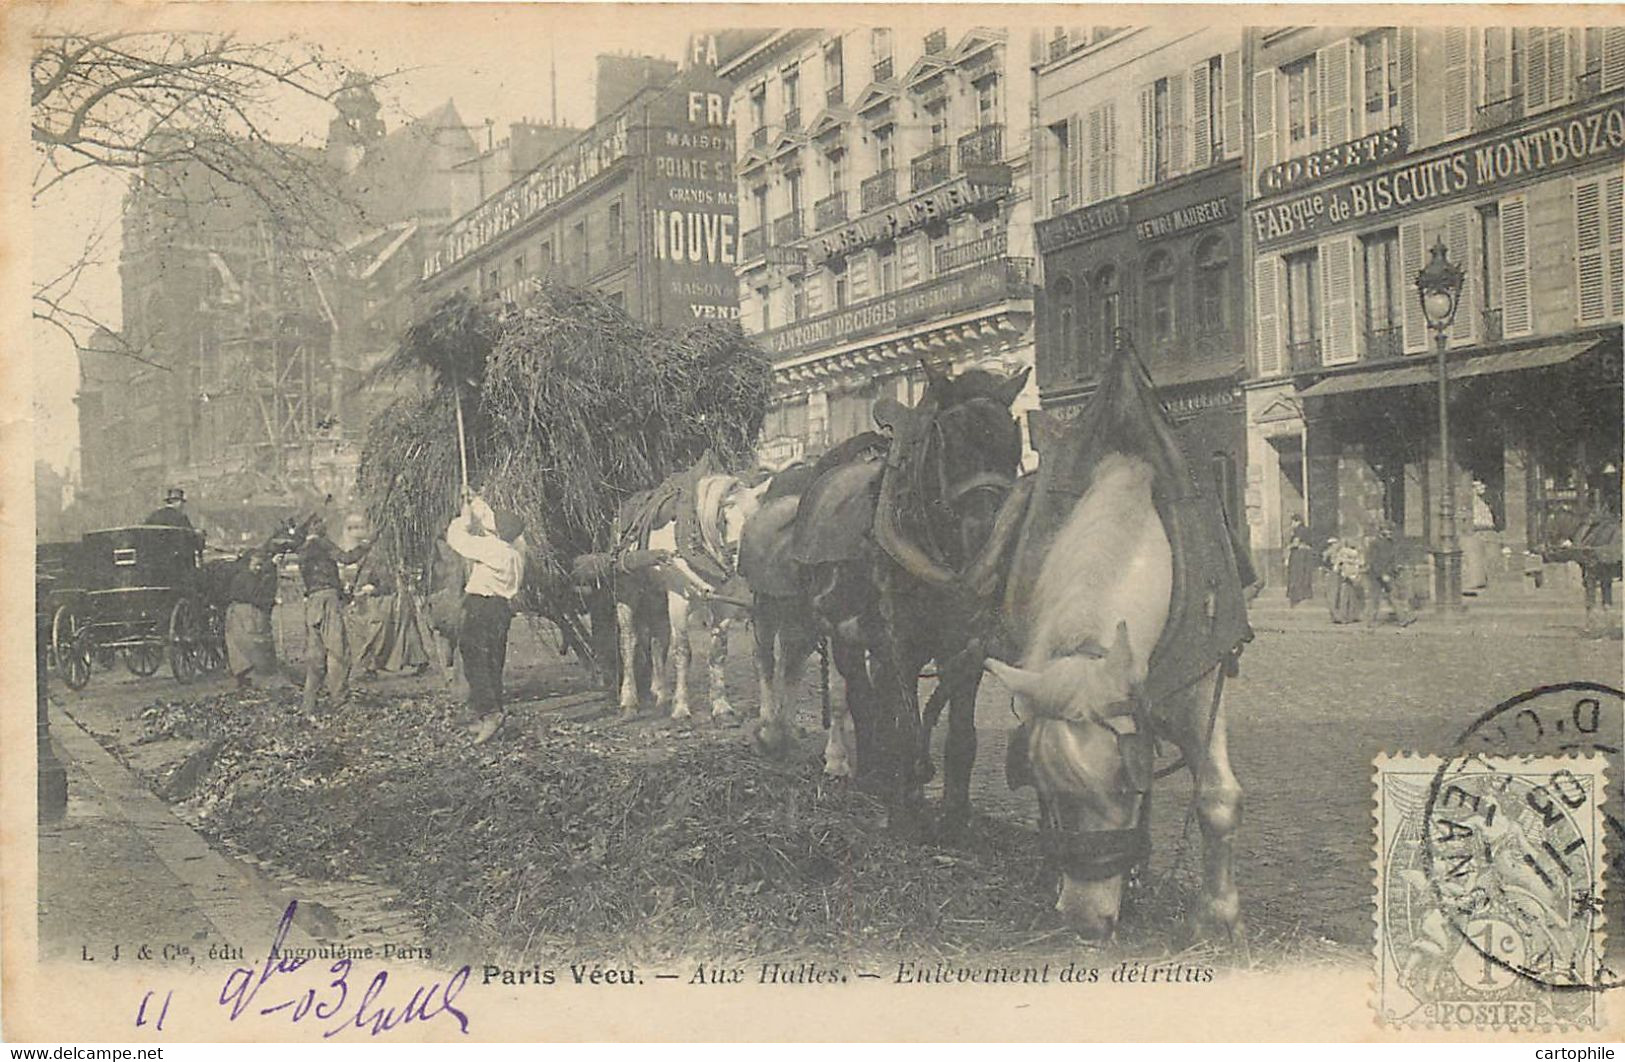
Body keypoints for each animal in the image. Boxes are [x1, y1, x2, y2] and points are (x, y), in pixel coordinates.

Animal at [607, 461, 763, 724]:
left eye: (755, 519)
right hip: (627, 594)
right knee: (628, 642)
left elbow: (718, 652)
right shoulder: (679, 600)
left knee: (658, 641)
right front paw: (681, 708)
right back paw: (629, 702)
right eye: (724, 520)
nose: (741, 565)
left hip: (657, 598)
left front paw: (721, 707)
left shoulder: (724, 605)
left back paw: (661, 696)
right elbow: (683, 652)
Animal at [968, 345, 1248, 941]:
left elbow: (1216, 798)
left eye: (1126, 782)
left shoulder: (1200, 688)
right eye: (1043, 783)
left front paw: (1216, 915)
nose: (1084, 921)